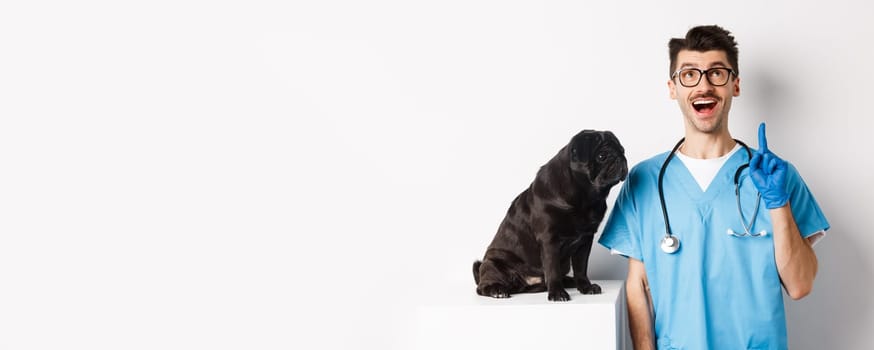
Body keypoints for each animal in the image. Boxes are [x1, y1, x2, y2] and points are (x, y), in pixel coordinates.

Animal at [470, 130, 628, 302]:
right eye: (602, 156)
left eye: (622, 151)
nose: (620, 158)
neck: (584, 197)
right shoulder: (549, 240)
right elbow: (552, 270)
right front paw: (557, 293)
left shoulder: (585, 241)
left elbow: (581, 268)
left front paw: (585, 287)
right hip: (493, 264)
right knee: (482, 287)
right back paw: (497, 290)